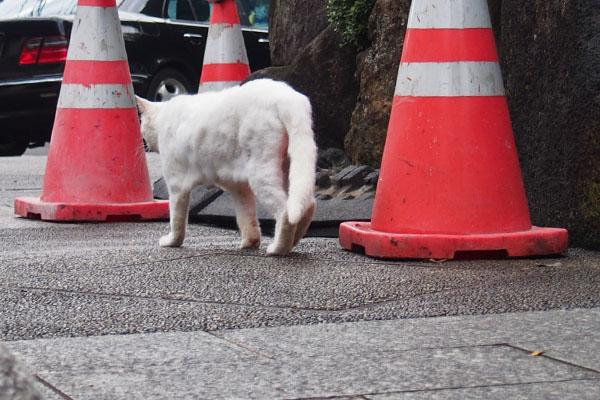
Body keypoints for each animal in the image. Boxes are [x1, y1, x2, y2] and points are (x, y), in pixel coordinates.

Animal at [137, 78, 318, 256]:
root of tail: (287, 97)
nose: (144, 143)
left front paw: (172, 242)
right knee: (306, 204)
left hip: (261, 174)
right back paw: (294, 240)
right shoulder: (238, 187)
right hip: (288, 170)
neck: (163, 117)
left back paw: (279, 249)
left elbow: (177, 218)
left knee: (286, 212)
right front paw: (251, 242)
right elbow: (246, 216)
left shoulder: (177, 186)